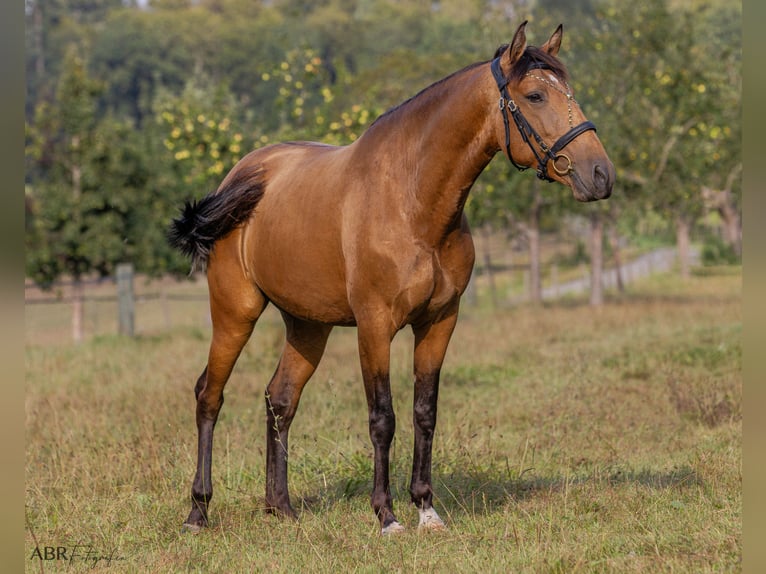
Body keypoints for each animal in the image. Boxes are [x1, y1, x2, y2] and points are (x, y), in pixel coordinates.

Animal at [169, 21, 614, 535]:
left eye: (570, 91)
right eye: (536, 95)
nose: (600, 175)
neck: (411, 200)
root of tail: (241, 175)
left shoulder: (439, 323)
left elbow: (425, 412)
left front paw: (426, 508)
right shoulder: (375, 327)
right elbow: (382, 417)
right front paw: (386, 515)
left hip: (308, 326)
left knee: (280, 400)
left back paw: (280, 507)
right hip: (235, 312)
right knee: (209, 396)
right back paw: (198, 511)